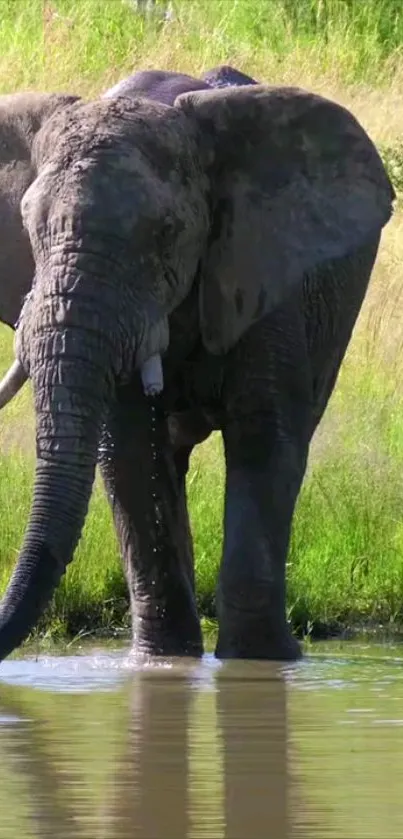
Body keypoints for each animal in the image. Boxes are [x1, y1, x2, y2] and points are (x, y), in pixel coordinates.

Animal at [0, 82, 394, 668]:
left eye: (166, 233)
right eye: (29, 229)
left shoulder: (260, 274)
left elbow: (265, 440)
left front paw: (261, 663)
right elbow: (131, 453)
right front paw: (163, 664)